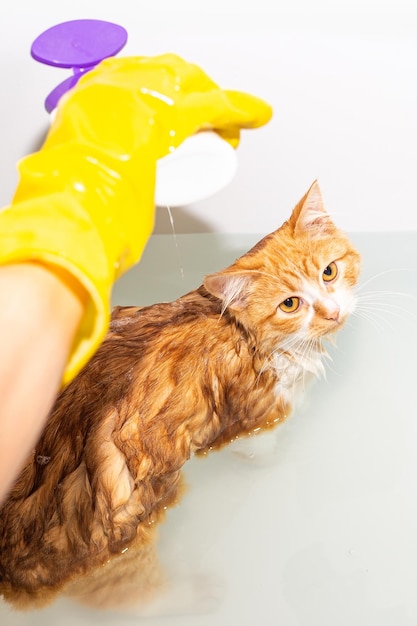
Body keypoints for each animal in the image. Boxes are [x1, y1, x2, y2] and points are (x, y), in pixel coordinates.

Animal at [0, 182, 358, 616]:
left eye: (329, 272)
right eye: (290, 304)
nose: (333, 313)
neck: (244, 335)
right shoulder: (252, 417)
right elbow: (261, 445)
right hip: (121, 527)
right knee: (126, 595)